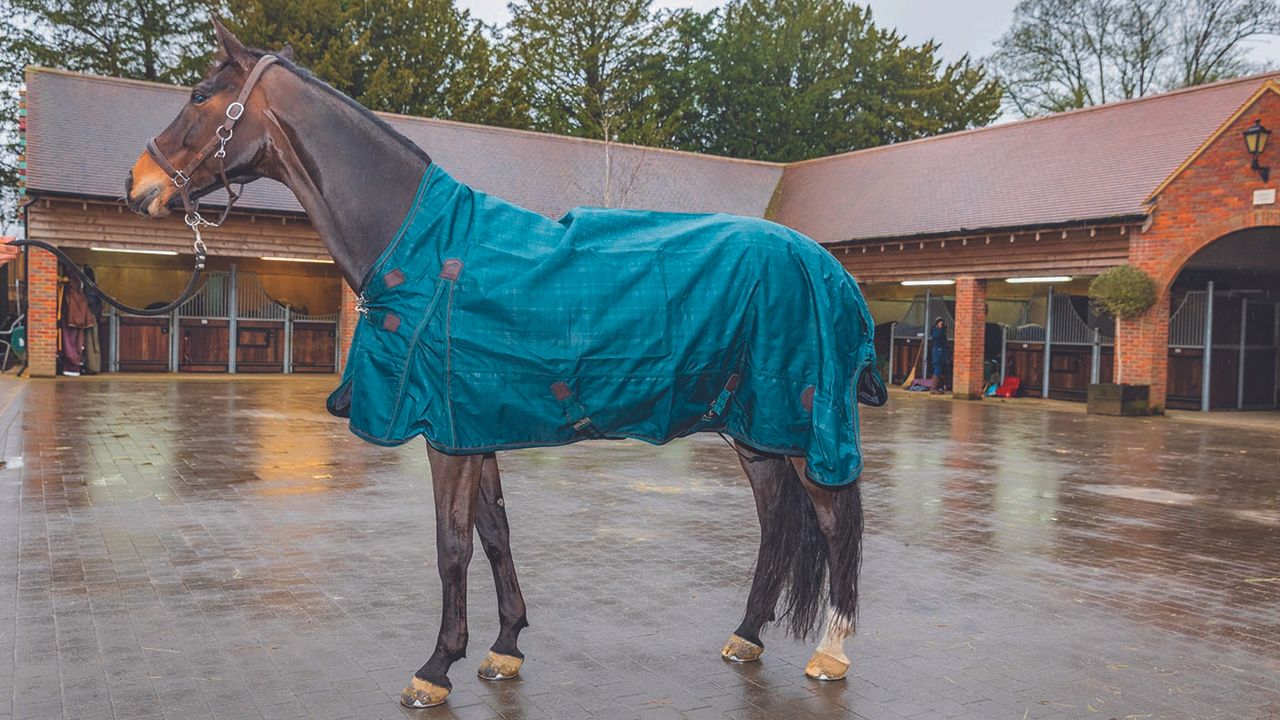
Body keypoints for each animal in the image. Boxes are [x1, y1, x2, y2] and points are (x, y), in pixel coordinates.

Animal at [124, 20, 881, 709]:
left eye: (199, 95)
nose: (138, 183)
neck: (422, 242)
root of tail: (827, 266)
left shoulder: (445, 433)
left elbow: (451, 545)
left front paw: (435, 668)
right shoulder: (471, 426)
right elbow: (494, 534)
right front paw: (504, 646)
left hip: (801, 425)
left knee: (835, 520)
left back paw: (831, 653)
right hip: (754, 429)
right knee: (777, 521)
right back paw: (746, 636)